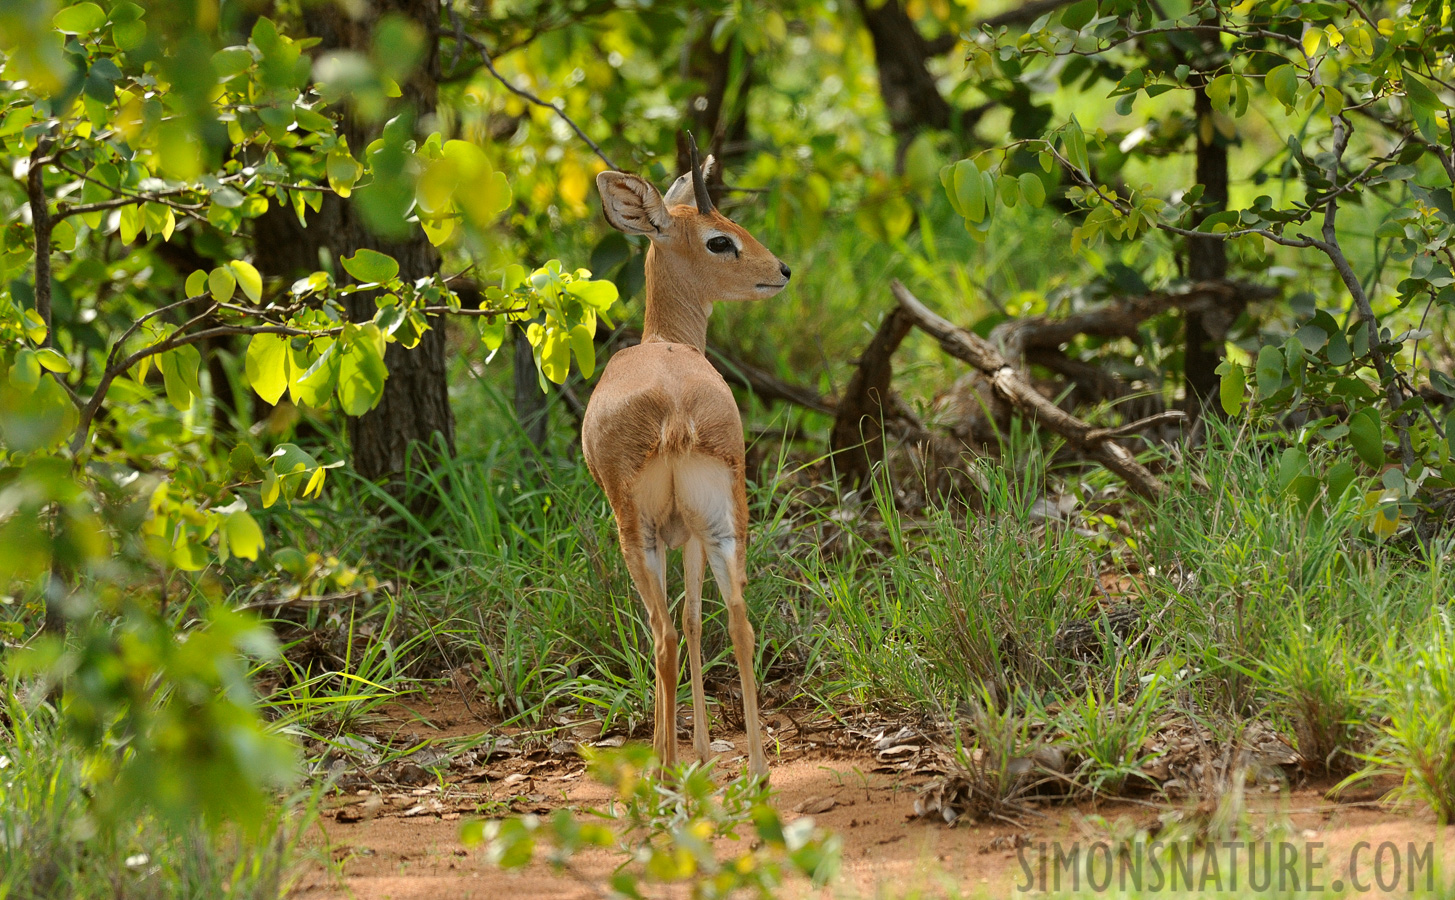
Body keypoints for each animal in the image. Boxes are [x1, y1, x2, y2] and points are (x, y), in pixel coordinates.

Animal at [582, 137, 797, 779]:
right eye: (719, 239)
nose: (781, 271)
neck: (665, 344)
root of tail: (676, 410)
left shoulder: (669, 535)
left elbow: (679, 626)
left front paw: (682, 752)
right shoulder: (696, 534)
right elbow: (701, 621)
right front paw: (703, 750)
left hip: (641, 536)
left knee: (662, 636)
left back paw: (665, 771)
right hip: (725, 522)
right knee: (737, 623)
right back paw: (756, 771)